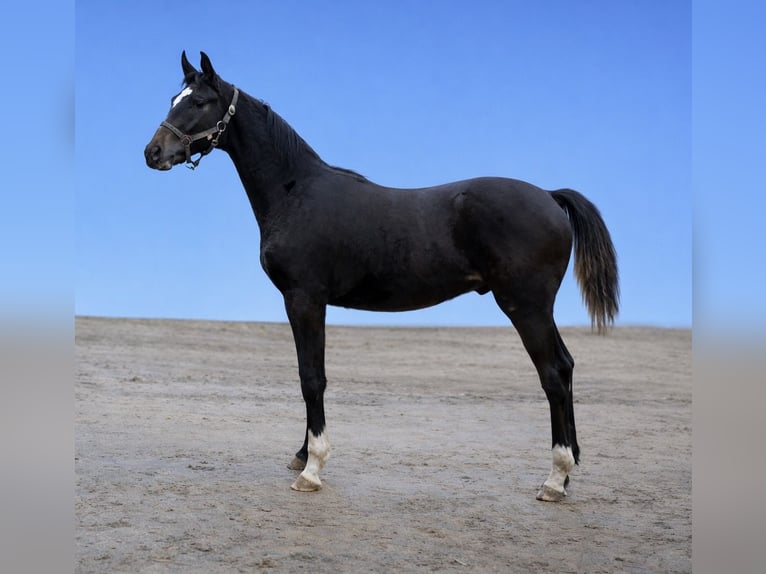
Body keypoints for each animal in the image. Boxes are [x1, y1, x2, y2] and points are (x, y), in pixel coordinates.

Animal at [144, 51, 619, 502]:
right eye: (173, 99)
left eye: (200, 102)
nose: (153, 153)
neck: (295, 191)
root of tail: (550, 197)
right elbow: (310, 373)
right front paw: (301, 453)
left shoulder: (303, 298)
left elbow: (311, 377)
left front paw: (311, 469)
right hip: (538, 309)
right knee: (567, 366)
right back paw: (569, 471)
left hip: (527, 308)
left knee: (553, 374)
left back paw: (554, 479)